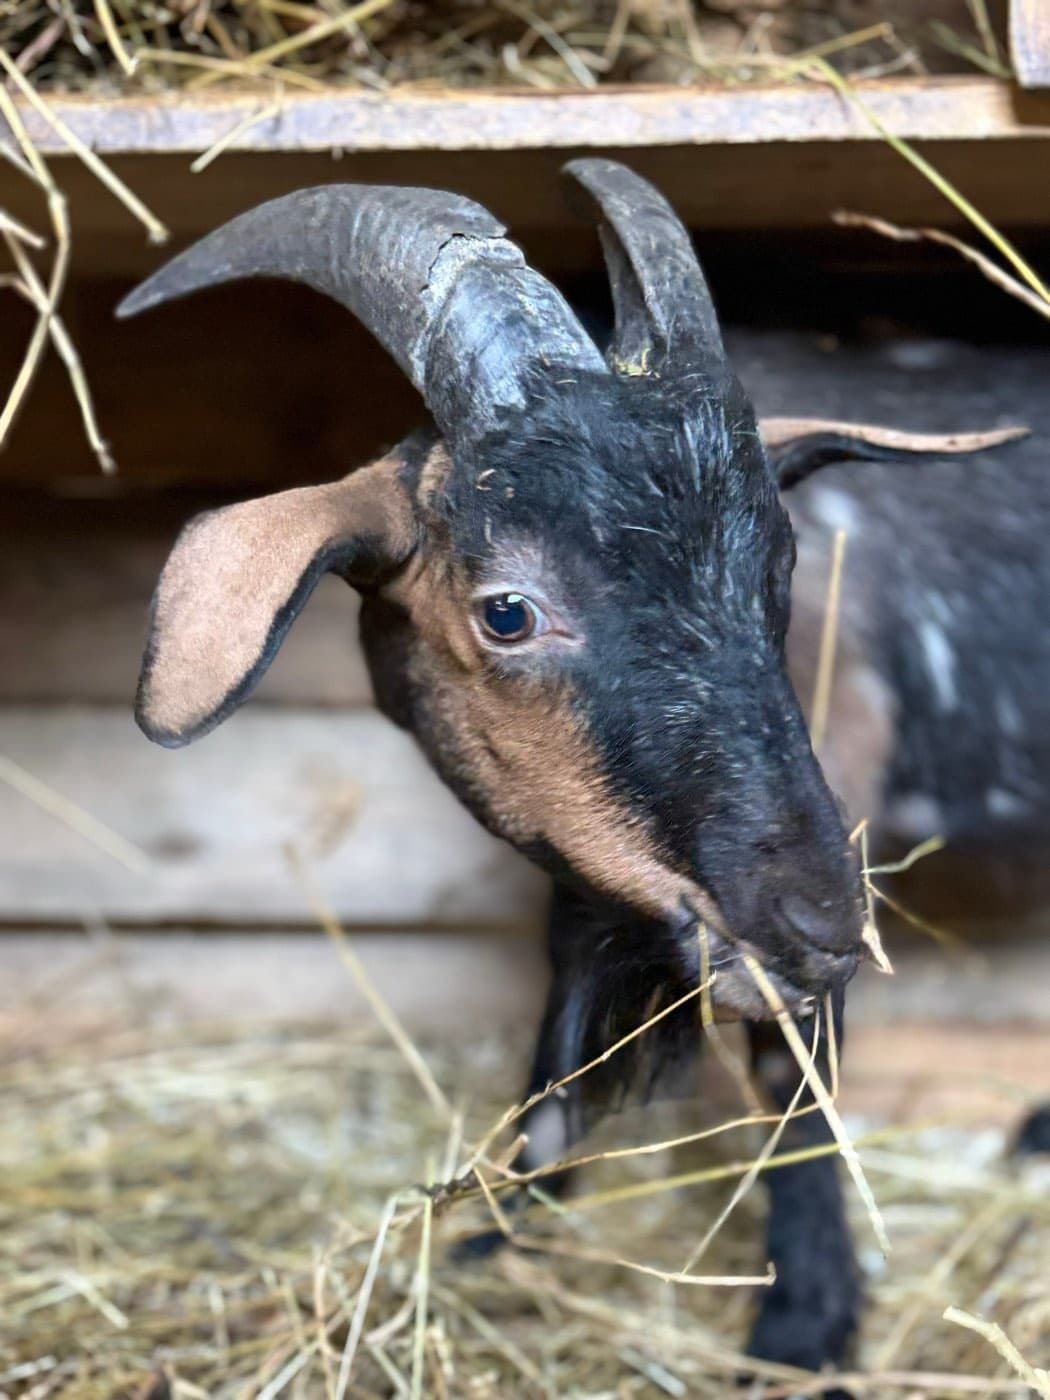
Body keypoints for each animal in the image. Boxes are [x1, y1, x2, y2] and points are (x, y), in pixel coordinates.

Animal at [117, 160, 1039, 1385]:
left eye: (782, 569)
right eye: (507, 610)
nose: (823, 920)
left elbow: (792, 1066)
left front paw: (802, 1327)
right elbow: (563, 1006)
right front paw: (503, 1229)